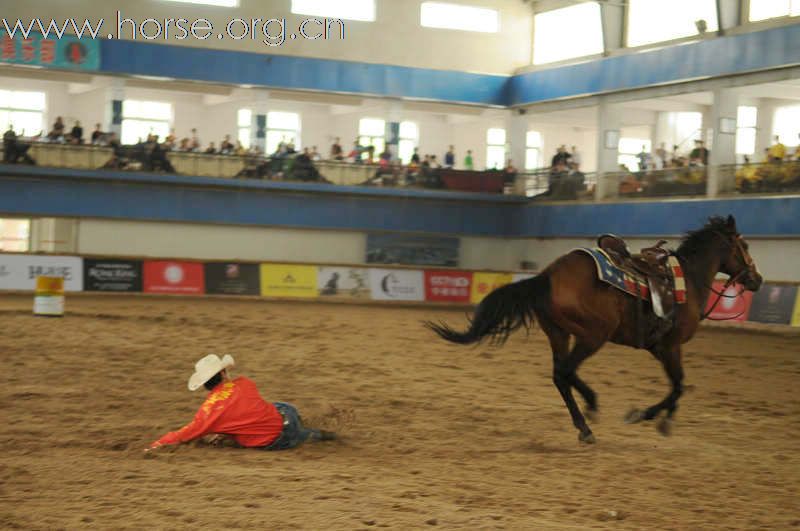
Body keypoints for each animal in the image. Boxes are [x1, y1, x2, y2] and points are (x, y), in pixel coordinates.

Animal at [424, 216, 764, 444]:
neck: (689, 282)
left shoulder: (660, 348)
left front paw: (658, 418)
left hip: (560, 334)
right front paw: (649, 417)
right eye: (744, 245)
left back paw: (585, 421)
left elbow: (677, 385)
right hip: (592, 335)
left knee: (560, 375)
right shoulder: (670, 346)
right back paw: (590, 413)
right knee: (566, 372)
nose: (757, 280)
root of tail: (548, 275)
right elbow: (678, 385)